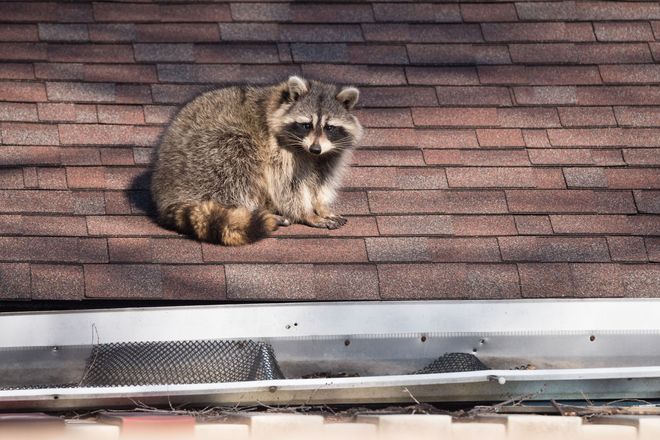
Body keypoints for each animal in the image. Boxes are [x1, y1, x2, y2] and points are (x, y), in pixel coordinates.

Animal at [150, 76, 363, 246]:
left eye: (329, 127)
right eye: (306, 125)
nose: (315, 148)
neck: (307, 152)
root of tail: (166, 192)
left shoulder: (328, 155)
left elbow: (319, 181)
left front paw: (321, 206)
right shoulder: (278, 151)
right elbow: (287, 187)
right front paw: (307, 214)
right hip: (207, 154)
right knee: (239, 167)